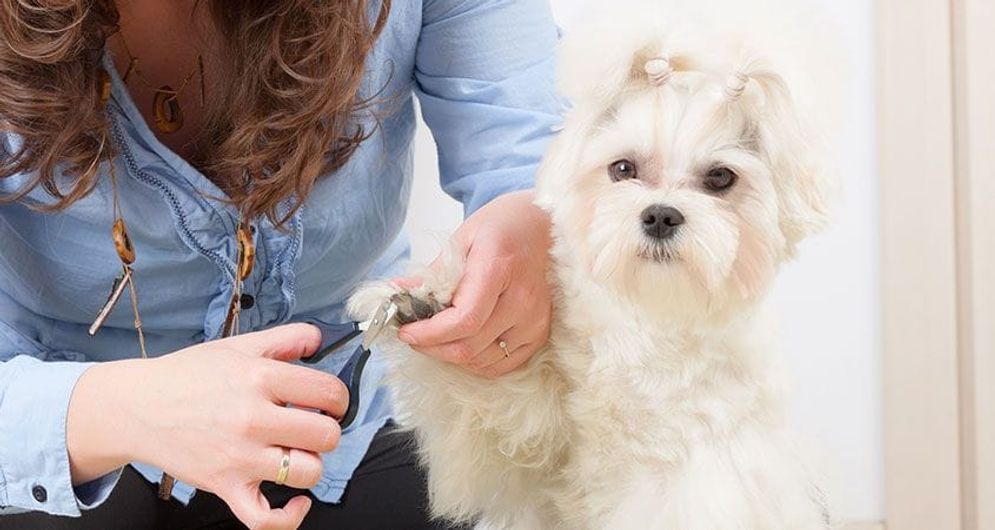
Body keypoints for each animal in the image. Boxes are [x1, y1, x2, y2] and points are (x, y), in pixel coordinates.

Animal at [346, 3, 836, 524]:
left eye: (721, 177)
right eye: (622, 168)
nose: (660, 215)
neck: (650, 332)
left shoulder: (699, 483)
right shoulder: (538, 436)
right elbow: (498, 407)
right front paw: (422, 300)